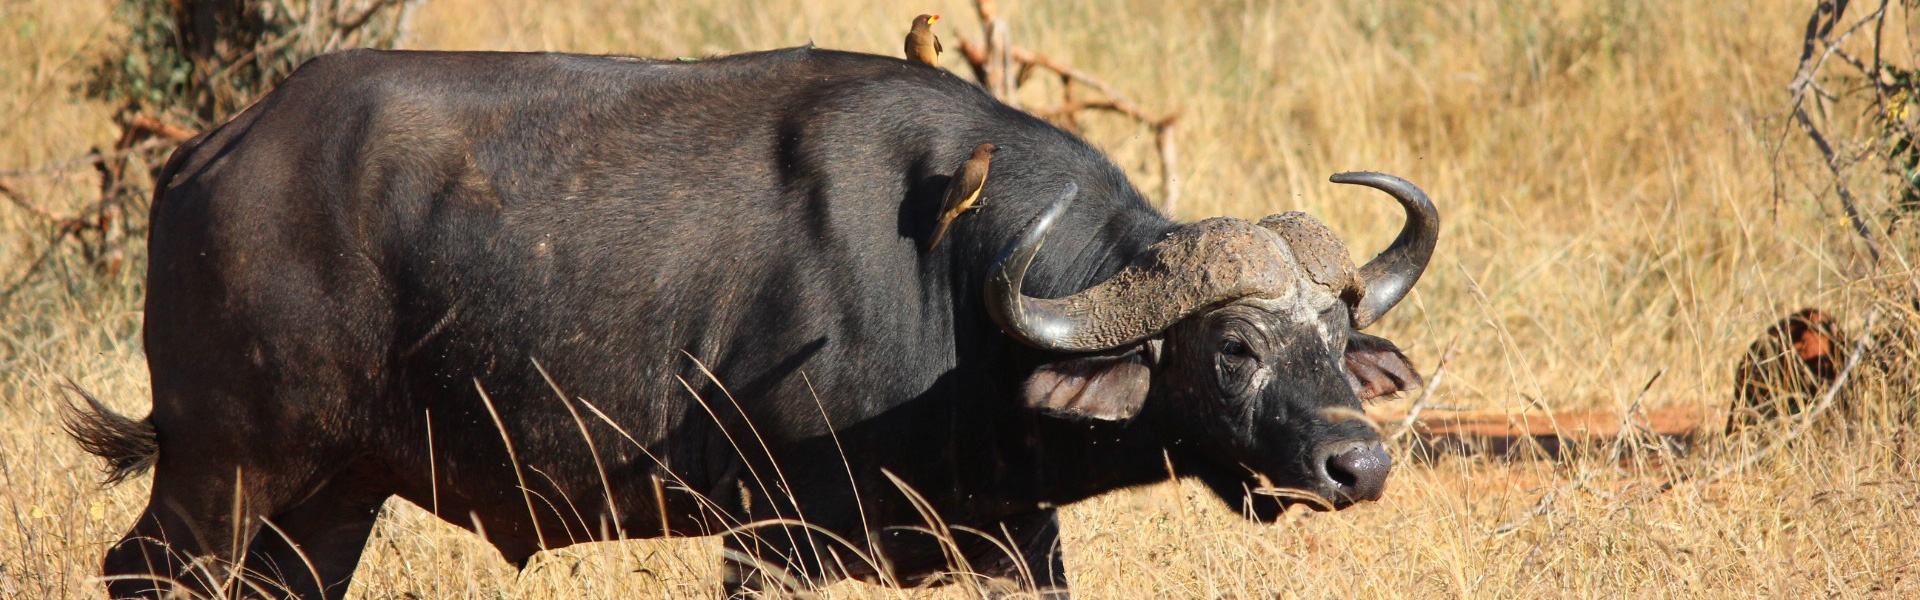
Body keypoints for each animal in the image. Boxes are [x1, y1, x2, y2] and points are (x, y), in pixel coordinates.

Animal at [67, 45, 1436, 596]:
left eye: (1334, 340)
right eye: (1235, 348)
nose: (1357, 464)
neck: (955, 301)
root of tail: (205, 157)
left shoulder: (1009, 540)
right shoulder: (772, 541)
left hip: (334, 494)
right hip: (220, 472)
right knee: (139, 570)